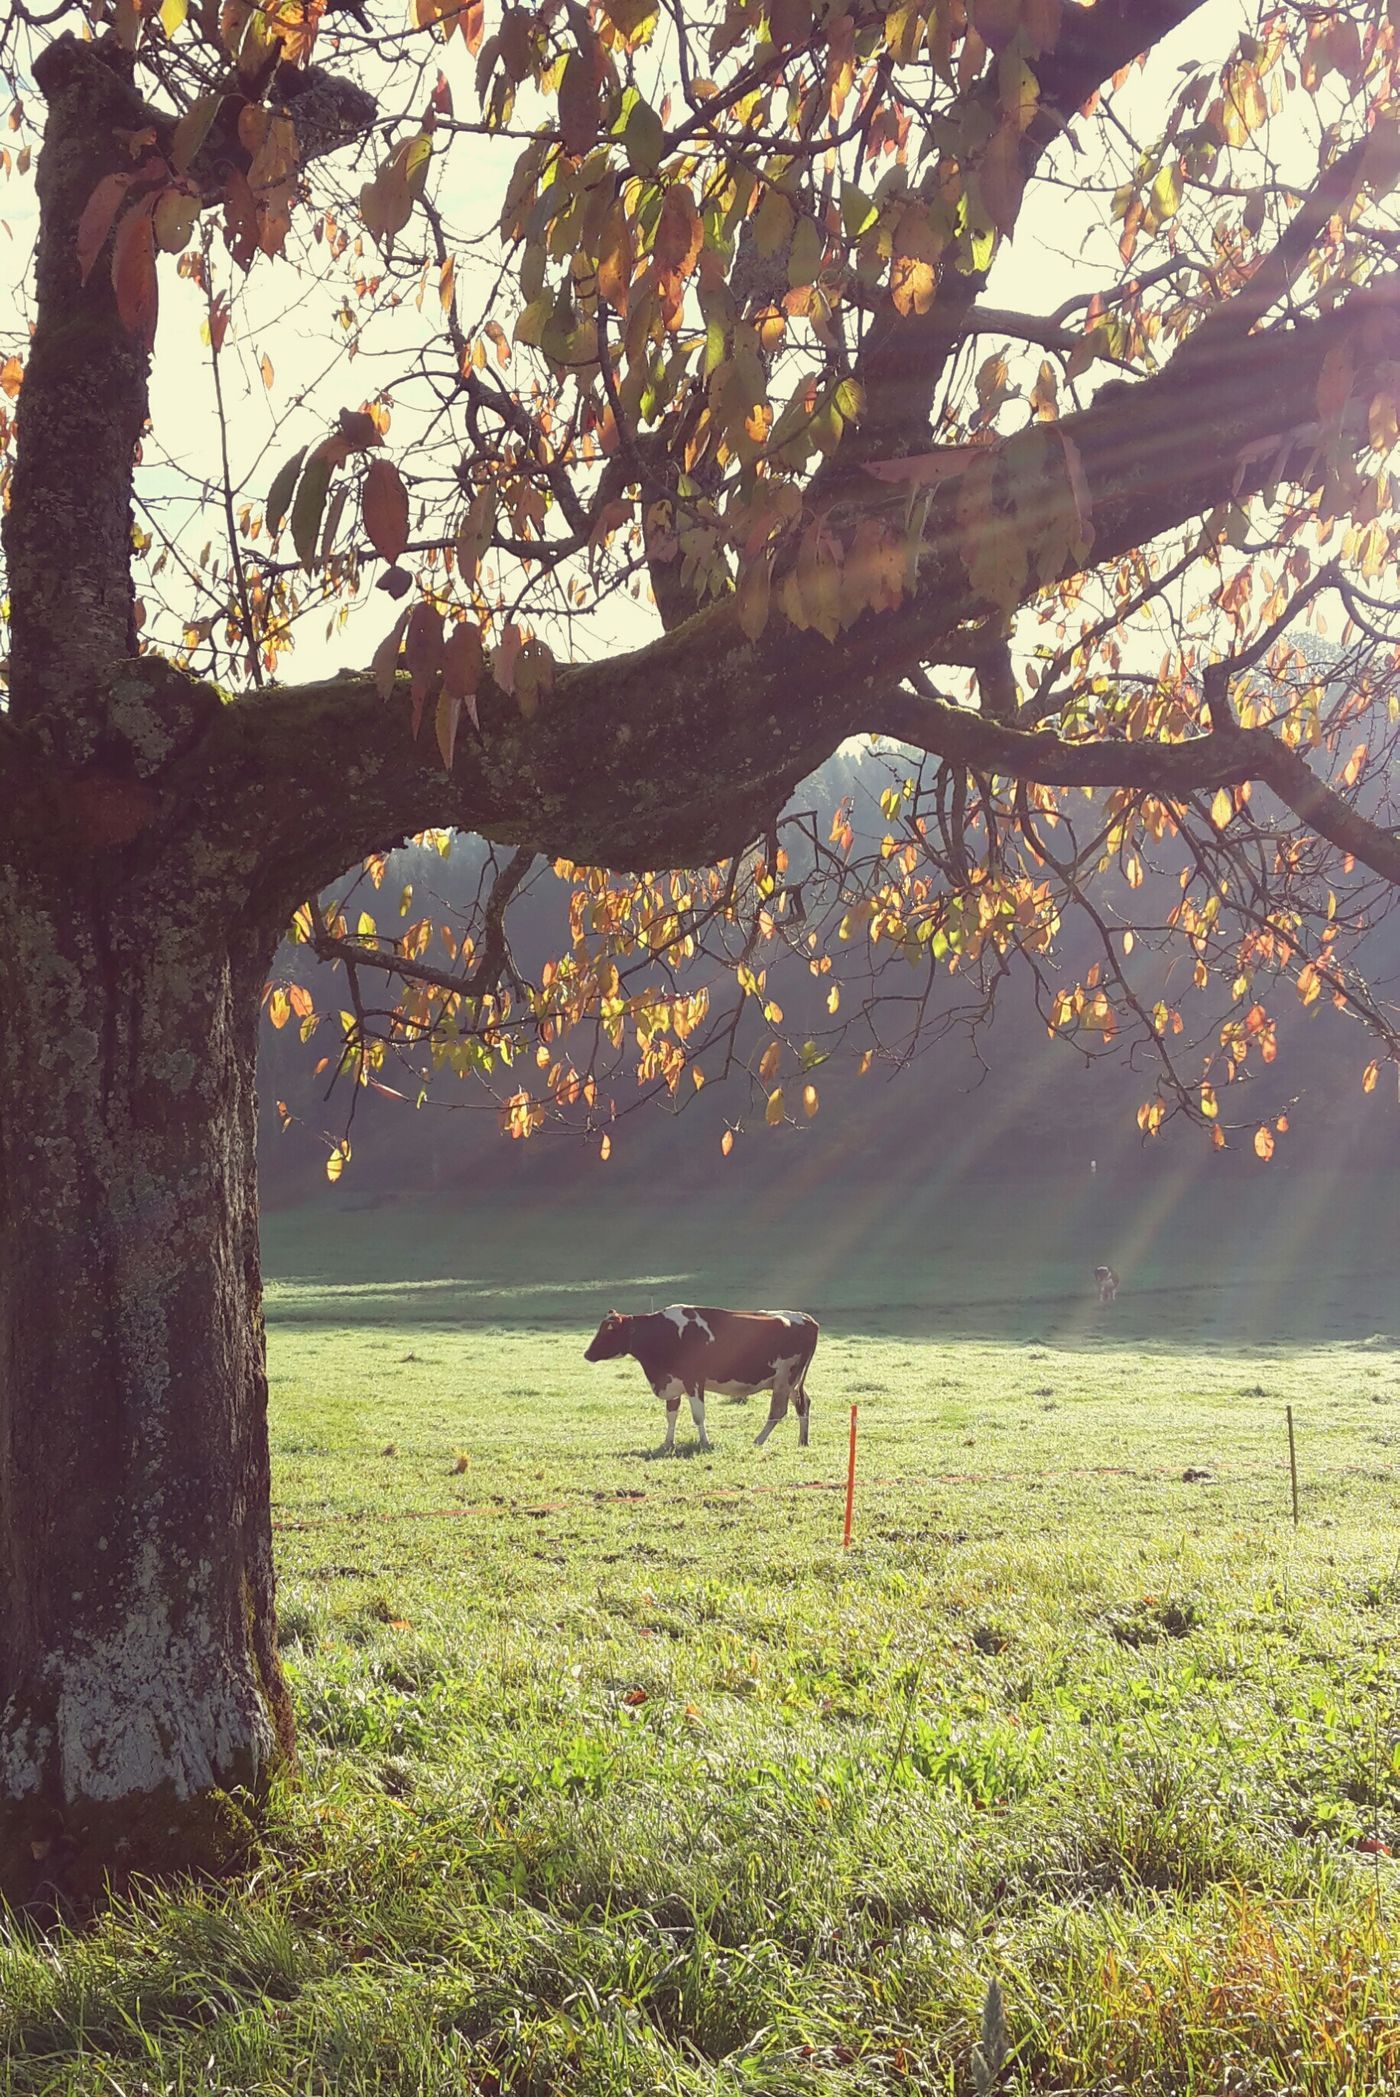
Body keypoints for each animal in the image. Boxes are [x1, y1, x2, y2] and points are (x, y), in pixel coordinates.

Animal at [582, 1300, 821, 1451]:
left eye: (608, 1330)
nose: (587, 1354)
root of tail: (807, 1319)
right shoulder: (673, 1382)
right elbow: (671, 1414)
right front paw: (667, 1443)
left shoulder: (694, 1380)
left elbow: (698, 1415)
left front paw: (704, 1443)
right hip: (791, 1382)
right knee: (803, 1404)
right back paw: (803, 1441)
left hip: (785, 1379)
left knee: (778, 1411)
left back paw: (758, 1441)